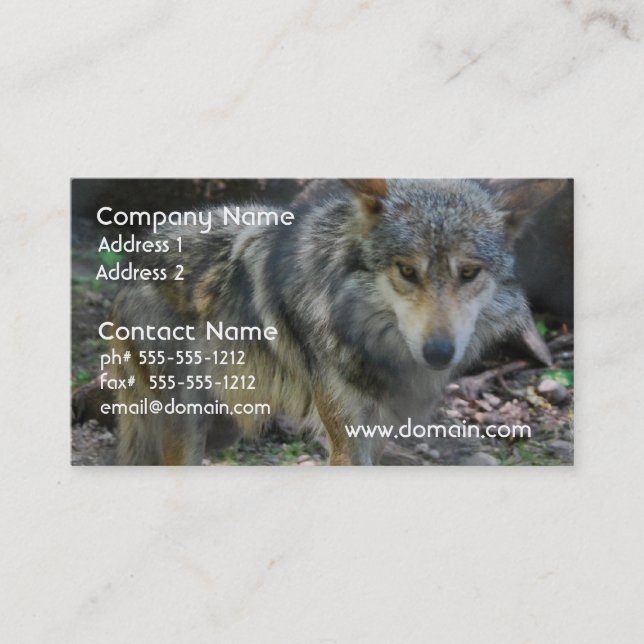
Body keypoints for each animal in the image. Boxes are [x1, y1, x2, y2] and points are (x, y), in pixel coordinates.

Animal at [110, 179, 558, 465]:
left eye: (468, 273)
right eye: (407, 271)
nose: (438, 353)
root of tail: (136, 254)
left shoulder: (378, 436)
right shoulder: (346, 441)